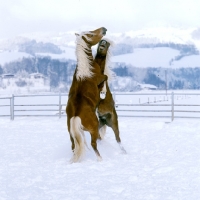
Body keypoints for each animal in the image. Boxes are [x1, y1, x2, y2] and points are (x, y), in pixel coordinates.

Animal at [66, 27, 108, 163]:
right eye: (91, 34)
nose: (104, 29)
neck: (86, 71)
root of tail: (76, 117)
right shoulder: (100, 78)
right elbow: (105, 77)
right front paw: (103, 92)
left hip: (71, 134)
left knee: (73, 146)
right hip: (94, 129)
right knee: (93, 144)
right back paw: (100, 159)